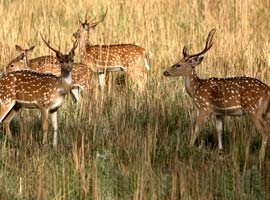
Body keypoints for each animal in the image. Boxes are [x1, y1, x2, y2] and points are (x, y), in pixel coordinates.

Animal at [162, 28, 270, 166]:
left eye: (178, 65)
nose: (165, 72)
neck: (196, 88)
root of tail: (267, 90)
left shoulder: (204, 108)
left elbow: (197, 128)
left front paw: (189, 147)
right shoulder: (219, 112)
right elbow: (219, 130)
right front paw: (220, 151)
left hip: (253, 110)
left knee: (265, 131)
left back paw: (260, 158)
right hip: (265, 111)